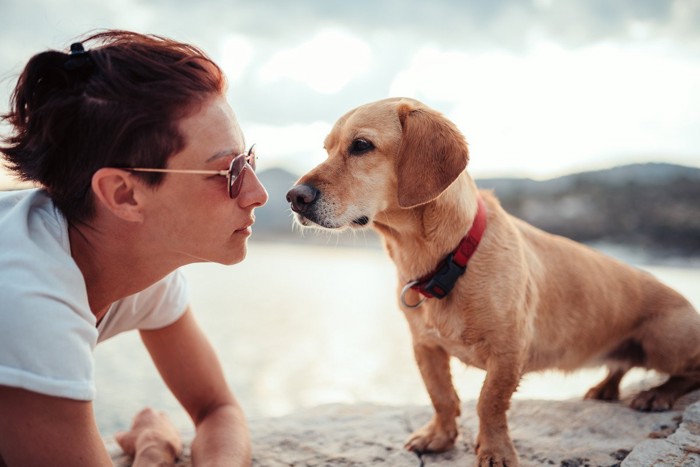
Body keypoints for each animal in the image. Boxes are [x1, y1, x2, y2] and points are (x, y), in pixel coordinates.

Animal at [286, 97, 700, 466]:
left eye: (361, 145)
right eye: (327, 148)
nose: (293, 197)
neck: (449, 257)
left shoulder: (508, 352)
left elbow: (490, 403)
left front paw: (496, 452)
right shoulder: (425, 347)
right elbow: (441, 395)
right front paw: (439, 436)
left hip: (662, 341)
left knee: (690, 371)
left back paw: (658, 394)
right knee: (620, 365)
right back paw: (606, 387)